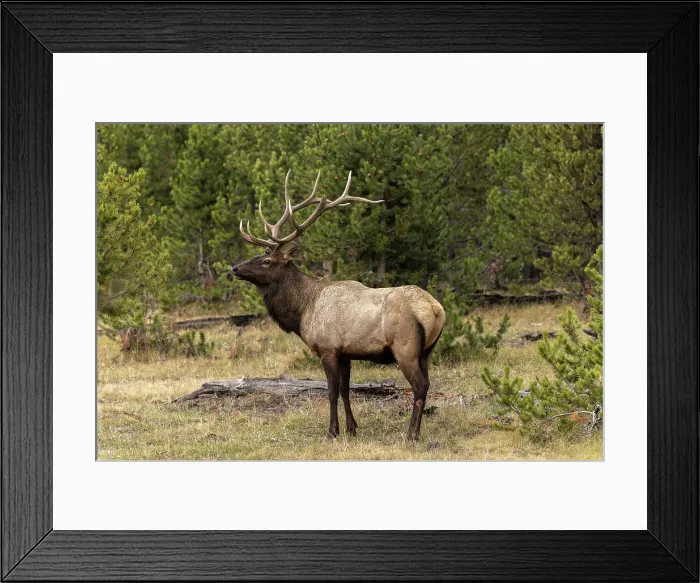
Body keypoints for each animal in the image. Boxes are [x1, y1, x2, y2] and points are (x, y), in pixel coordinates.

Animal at [232, 170, 445, 440]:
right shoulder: (346, 352)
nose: (235, 267)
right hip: (427, 351)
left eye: (266, 261)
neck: (303, 311)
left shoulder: (328, 348)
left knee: (419, 385)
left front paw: (332, 431)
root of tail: (436, 309)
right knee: (427, 383)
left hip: (405, 347)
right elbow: (345, 389)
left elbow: (331, 391)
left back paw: (411, 434)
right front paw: (352, 428)